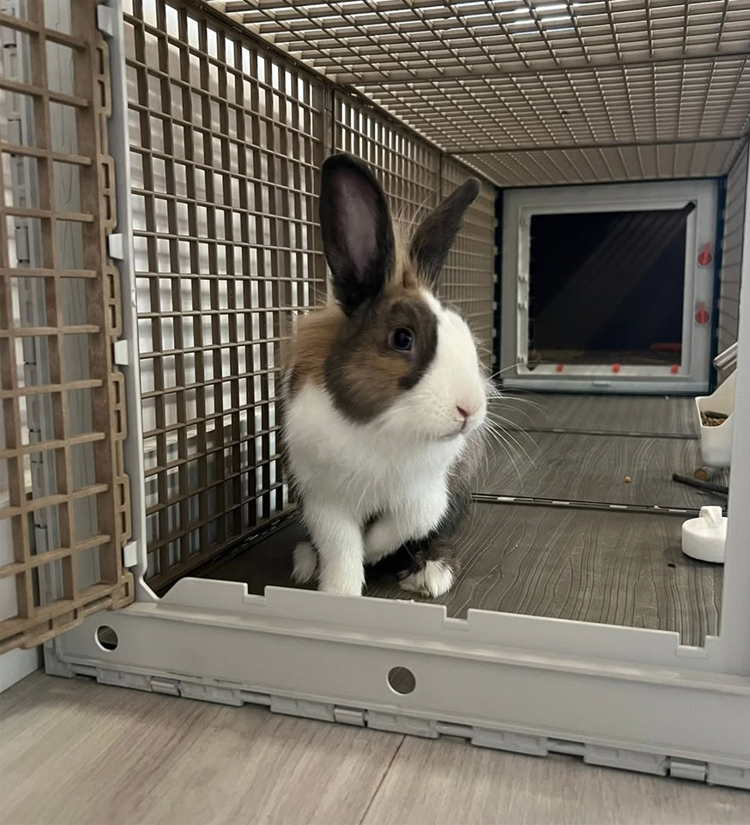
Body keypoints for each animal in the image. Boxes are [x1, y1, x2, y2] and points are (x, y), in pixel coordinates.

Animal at [281, 152, 490, 598]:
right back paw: (306, 561)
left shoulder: (427, 494)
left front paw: (376, 553)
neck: (383, 429)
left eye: (462, 327)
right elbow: (342, 549)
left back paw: (432, 572)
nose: (470, 409)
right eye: (402, 338)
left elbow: (400, 527)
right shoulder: (324, 500)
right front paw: (338, 592)